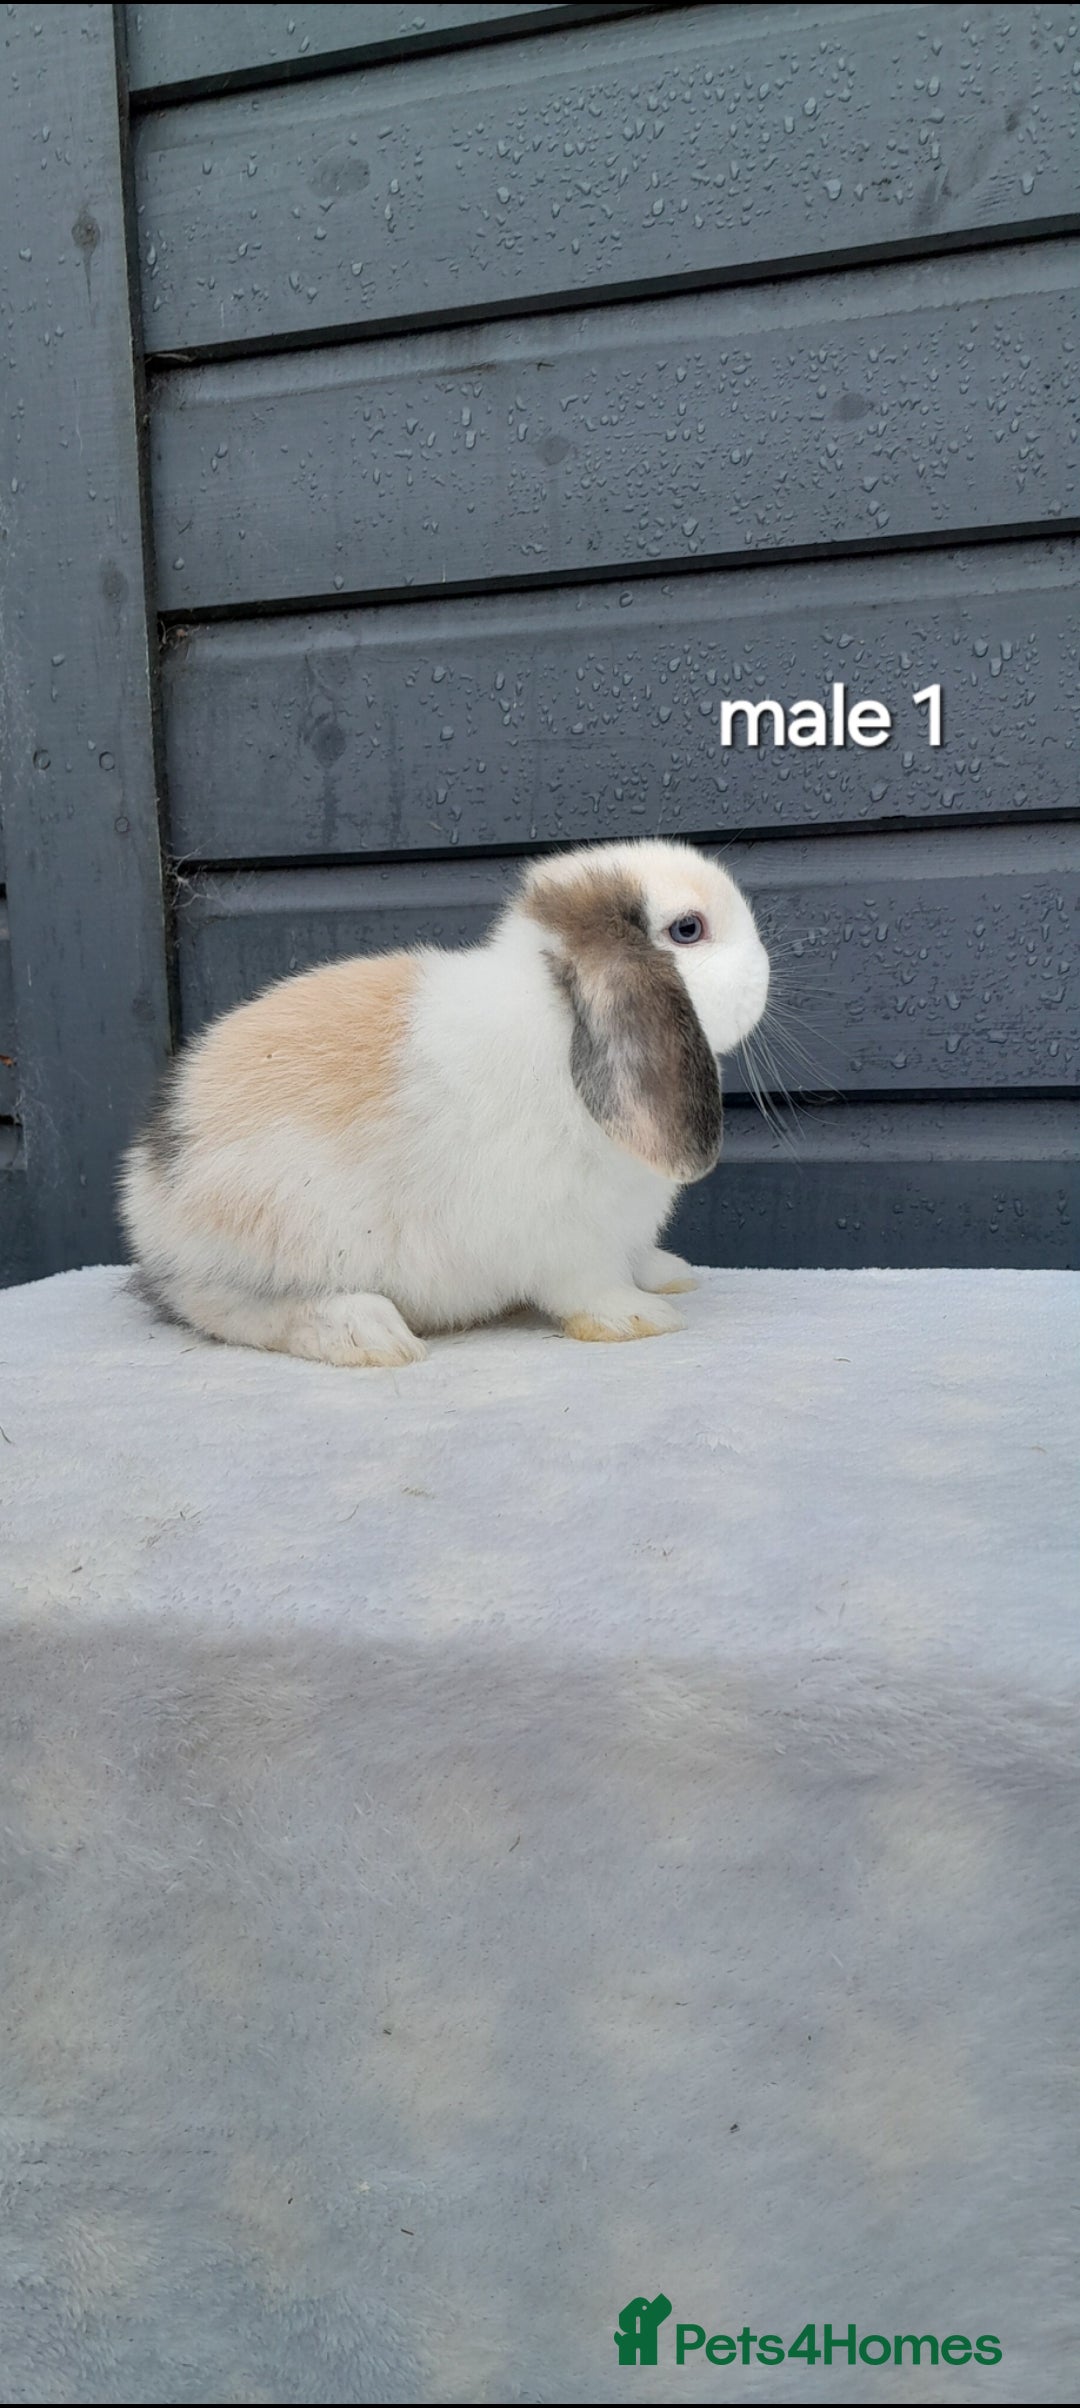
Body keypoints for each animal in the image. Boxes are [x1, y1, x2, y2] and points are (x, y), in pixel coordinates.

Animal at [120, 838, 770, 1366]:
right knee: (230, 1308)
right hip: (275, 1237)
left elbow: (634, 1257)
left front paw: (668, 1276)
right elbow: (587, 1284)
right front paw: (638, 1317)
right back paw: (369, 1333)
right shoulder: (565, 1235)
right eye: (688, 930)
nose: (766, 969)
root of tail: (148, 1188)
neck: (562, 1020)